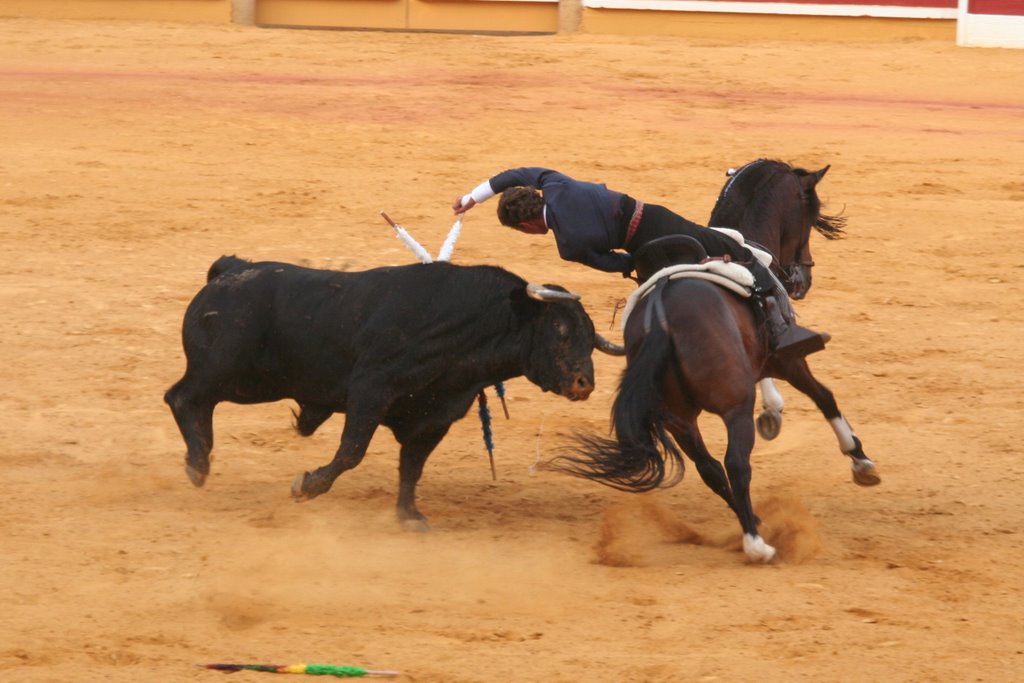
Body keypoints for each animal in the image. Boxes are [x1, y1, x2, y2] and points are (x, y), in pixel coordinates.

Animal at [165, 254, 622, 528]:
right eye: (559, 329)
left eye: (589, 334)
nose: (584, 383)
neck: (473, 325)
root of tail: (229, 270)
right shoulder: (370, 390)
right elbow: (351, 452)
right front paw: (307, 486)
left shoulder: (435, 418)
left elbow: (411, 467)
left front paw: (409, 515)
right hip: (230, 372)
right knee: (184, 397)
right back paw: (197, 464)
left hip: (252, 382)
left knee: (195, 402)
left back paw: (199, 461)